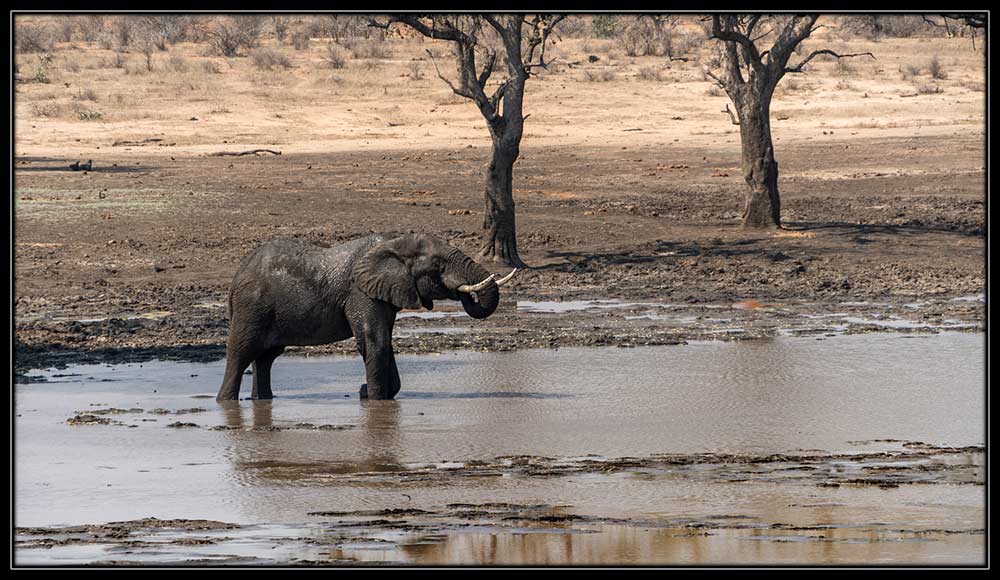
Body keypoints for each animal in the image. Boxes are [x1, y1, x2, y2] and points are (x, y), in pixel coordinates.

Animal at [218, 233, 516, 402]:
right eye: (437, 264)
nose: (463, 290)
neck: (393, 244)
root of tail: (236, 279)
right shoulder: (360, 293)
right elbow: (375, 341)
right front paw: (373, 400)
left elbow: (386, 342)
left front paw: (367, 393)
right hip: (251, 307)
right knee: (241, 353)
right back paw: (226, 401)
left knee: (265, 358)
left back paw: (262, 400)